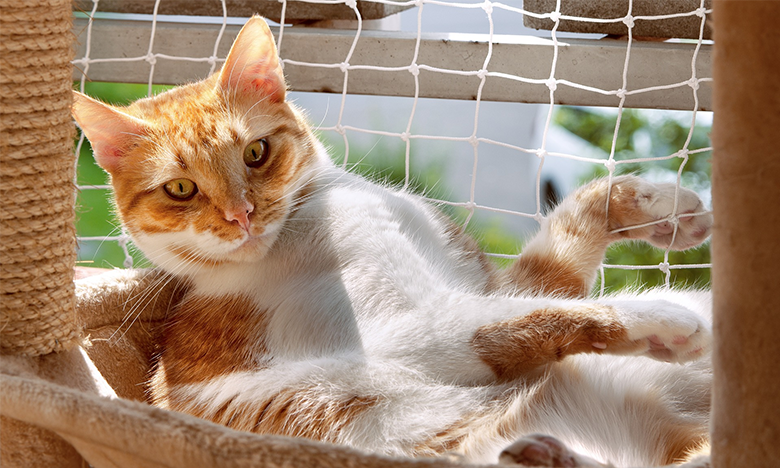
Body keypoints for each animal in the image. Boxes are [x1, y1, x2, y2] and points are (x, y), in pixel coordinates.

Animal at [71, 15, 712, 468]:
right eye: (180, 189)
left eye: (256, 153)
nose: (240, 215)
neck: (325, 212)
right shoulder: (408, 340)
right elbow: (530, 318)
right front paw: (660, 320)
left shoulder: (499, 282)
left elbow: (575, 226)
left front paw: (666, 209)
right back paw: (547, 453)